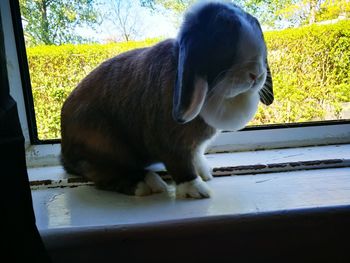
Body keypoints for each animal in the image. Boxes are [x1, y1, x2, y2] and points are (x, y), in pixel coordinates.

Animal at [59, 1, 274, 200]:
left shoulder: (194, 146)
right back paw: (146, 184)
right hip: (100, 143)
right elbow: (180, 163)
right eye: (222, 43)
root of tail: (65, 153)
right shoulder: (169, 141)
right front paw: (197, 189)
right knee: (103, 172)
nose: (256, 75)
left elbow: (196, 154)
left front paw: (205, 172)